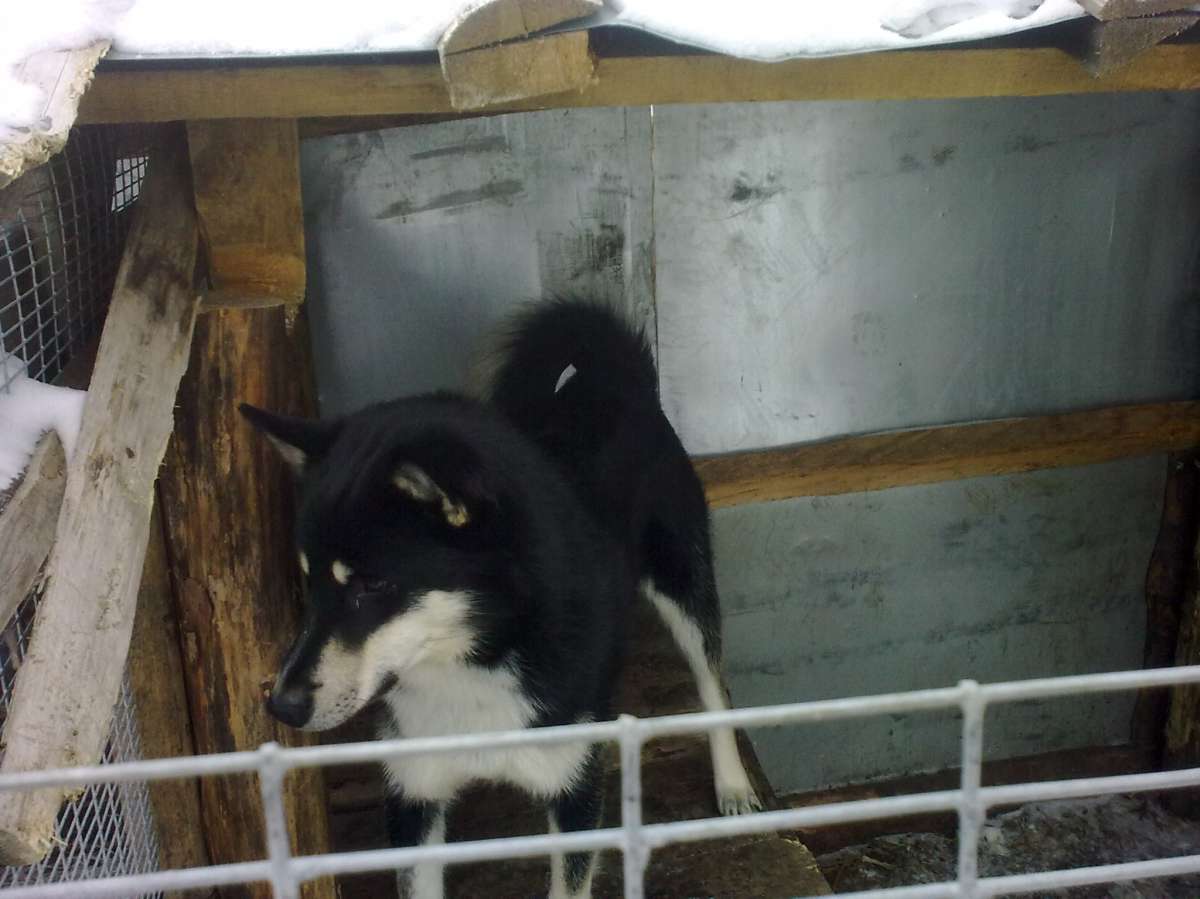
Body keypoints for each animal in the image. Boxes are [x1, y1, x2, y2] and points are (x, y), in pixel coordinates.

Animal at [240, 298, 761, 899]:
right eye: (309, 583)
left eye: (373, 586)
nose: (282, 705)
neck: (477, 656)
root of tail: (617, 378)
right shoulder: (414, 797)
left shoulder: (575, 791)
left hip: (684, 583)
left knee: (711, 682)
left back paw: (733, 783)